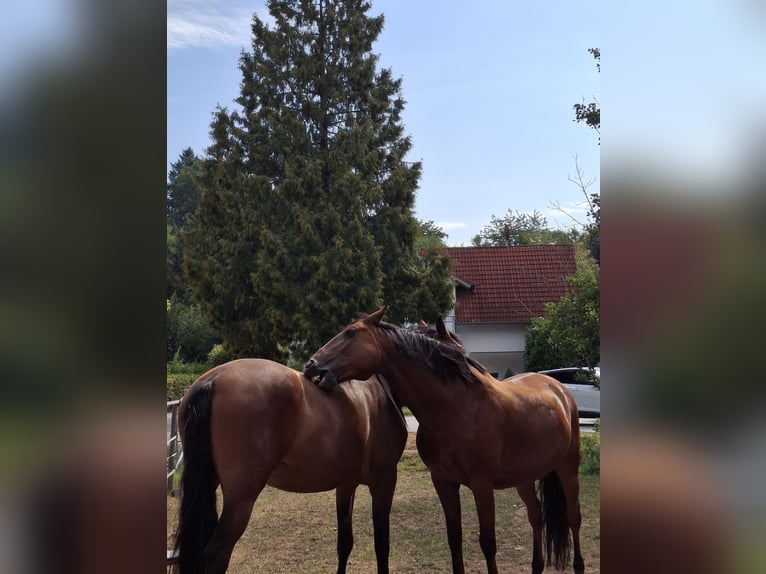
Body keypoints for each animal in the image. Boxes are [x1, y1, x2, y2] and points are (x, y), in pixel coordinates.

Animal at [304, 308, 585, 574]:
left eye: (350, 333)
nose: (310, 365)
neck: (457, 408)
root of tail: (557, 387)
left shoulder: (482, 485)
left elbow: (488, 543)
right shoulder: (443, 482)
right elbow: (454, 539)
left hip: (568, 469)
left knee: (574, 517)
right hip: (524, 478)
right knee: (536, 515)